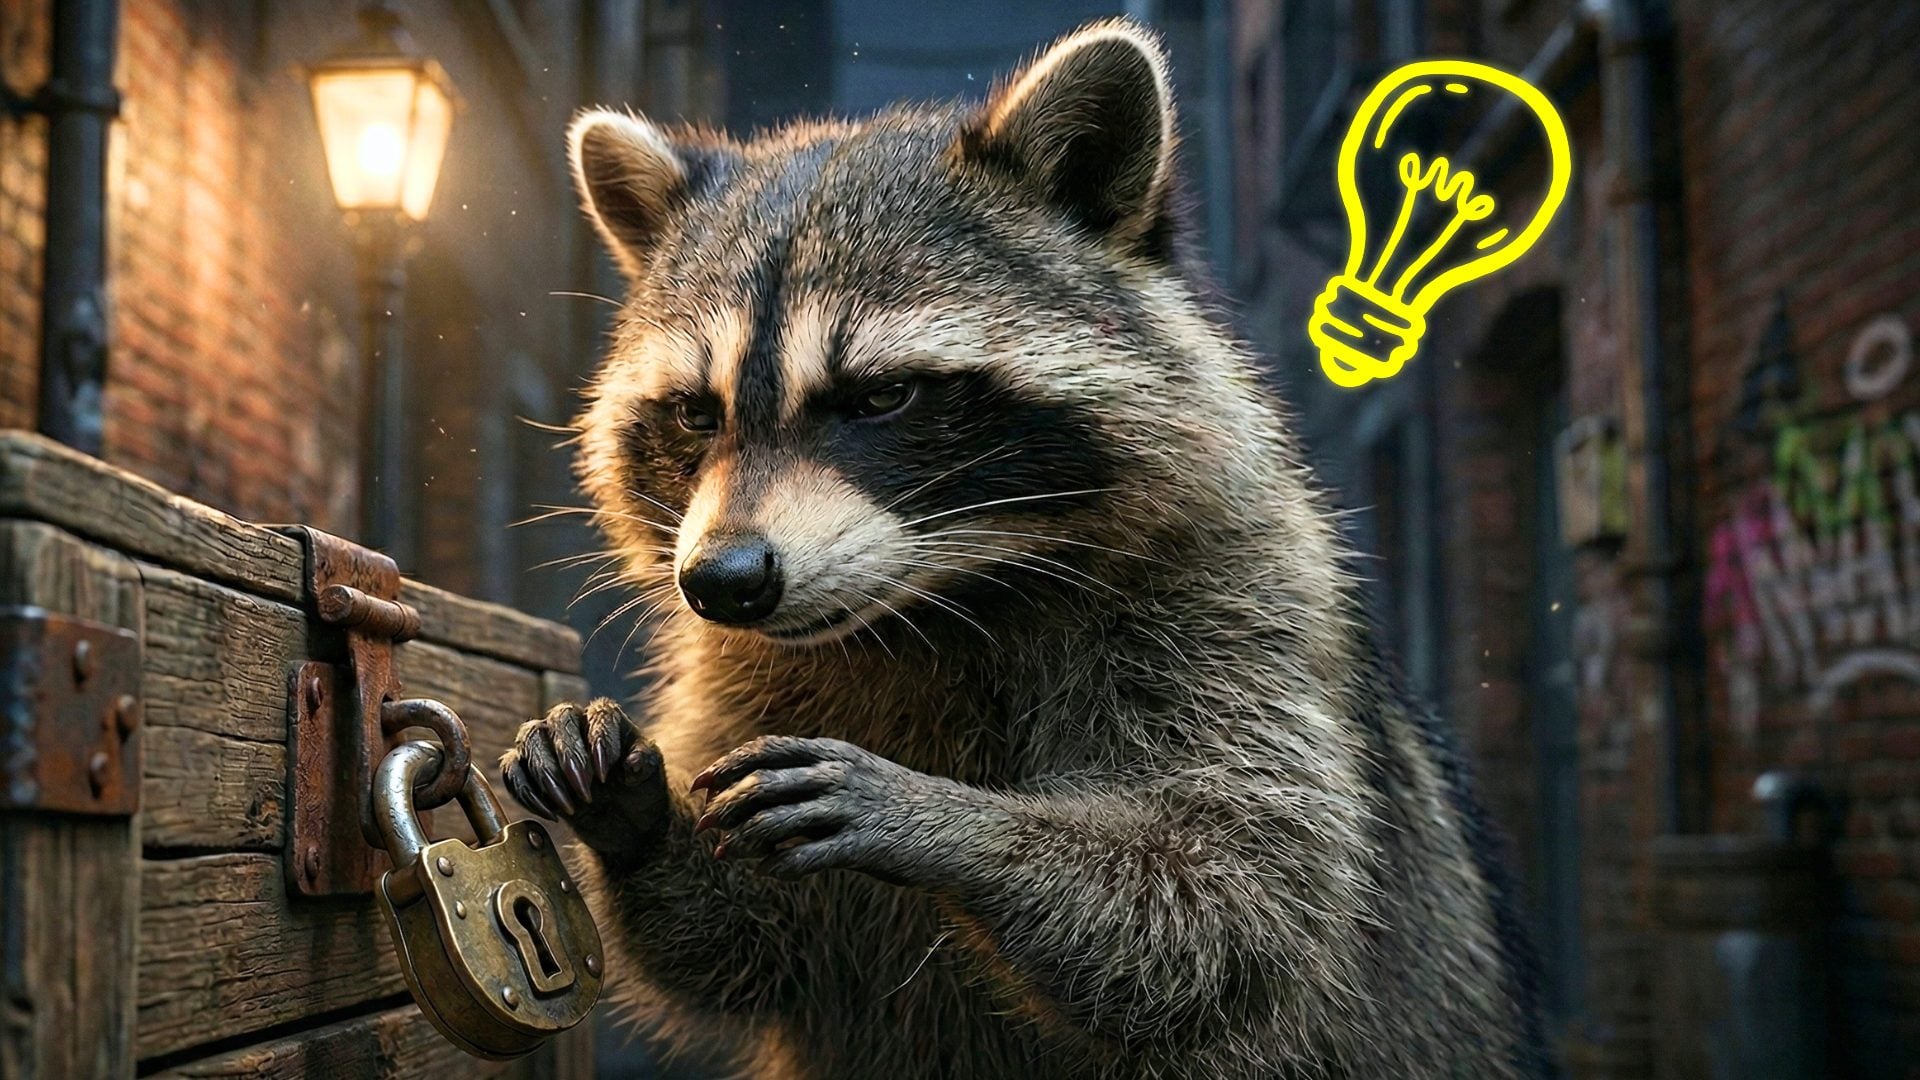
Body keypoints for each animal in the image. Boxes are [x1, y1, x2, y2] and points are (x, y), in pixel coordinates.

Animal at [503, 19, 1546, 1080]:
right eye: (694, 413)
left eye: (881, 397)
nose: (723, 582)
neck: (929, 603)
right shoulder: (739, 673)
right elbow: (751, 945)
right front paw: (632, 808)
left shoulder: (1236, 597)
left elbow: (1231, 899)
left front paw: (944, 821)